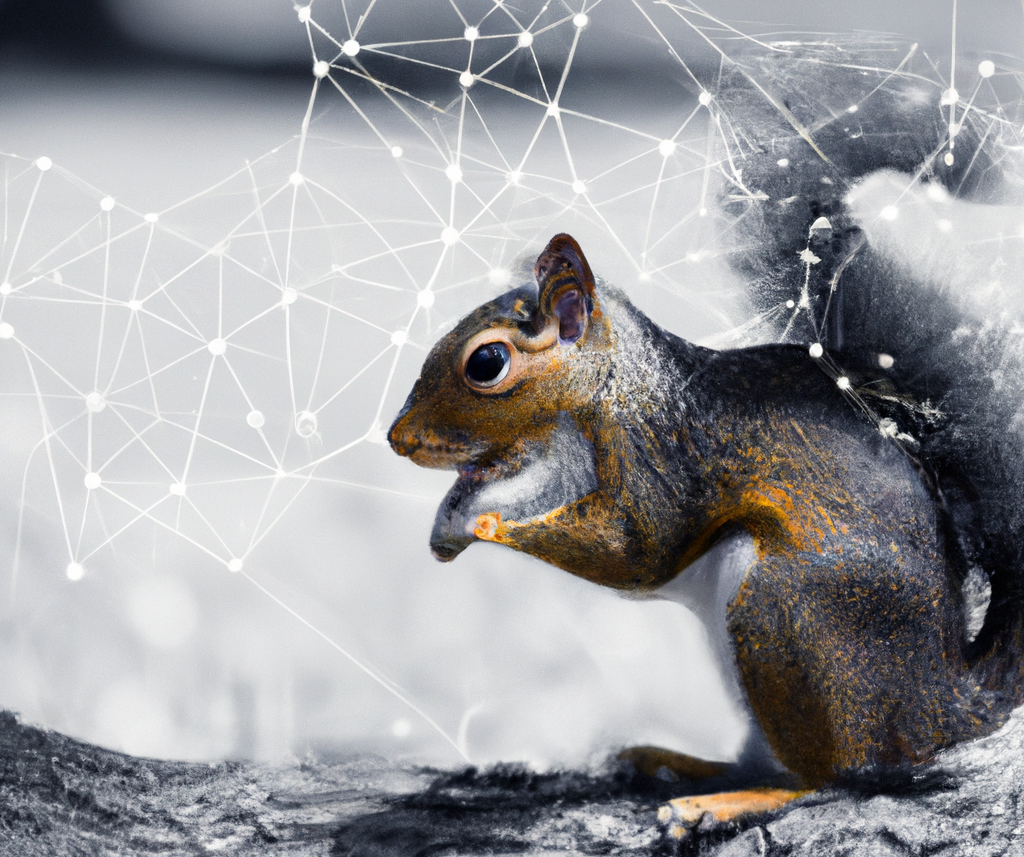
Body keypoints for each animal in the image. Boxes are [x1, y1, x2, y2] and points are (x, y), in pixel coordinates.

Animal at [389, 44, 1024, 837]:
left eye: (486, 363)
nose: (398, 439)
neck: (614, 392)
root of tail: (943, 708)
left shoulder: (667, 455)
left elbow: (637, 548)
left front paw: (488, 522)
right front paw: (451, 519)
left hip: (788, 610)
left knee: (837, 776)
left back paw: (727, 799)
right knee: (775, 759)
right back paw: (678, 763)